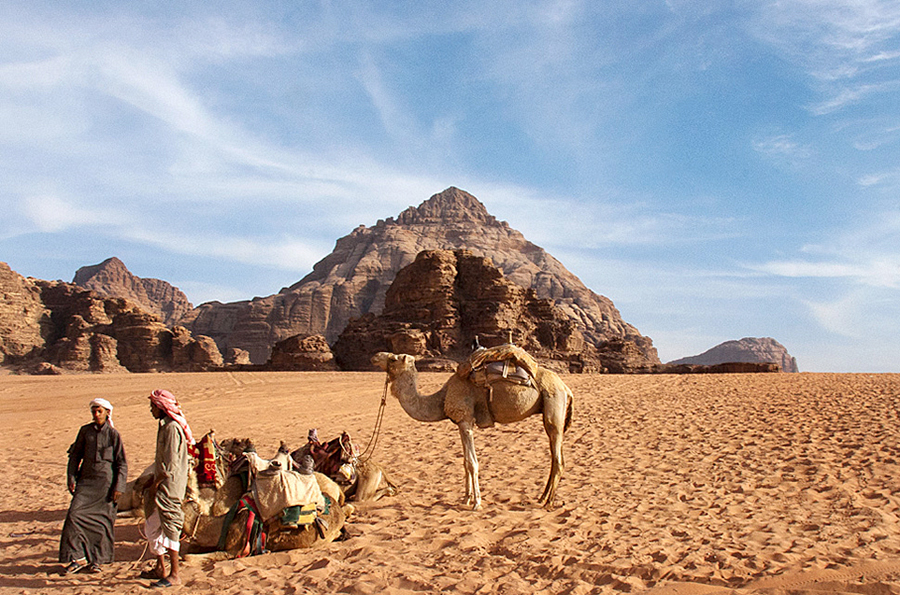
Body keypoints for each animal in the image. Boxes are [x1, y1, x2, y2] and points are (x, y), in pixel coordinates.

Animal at [370, 344, 568, 512]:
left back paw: (548, 502)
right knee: (555, 457)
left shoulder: (466, 420)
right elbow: (465, 462)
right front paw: (466, 498)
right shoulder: (460, 423)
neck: (441, 398)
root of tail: (565, 387)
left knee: (558, 458)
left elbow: (473, 463)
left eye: (393, 358)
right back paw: (542, 497)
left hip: (554, 403)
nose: (375, 356)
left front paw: (477, 503)